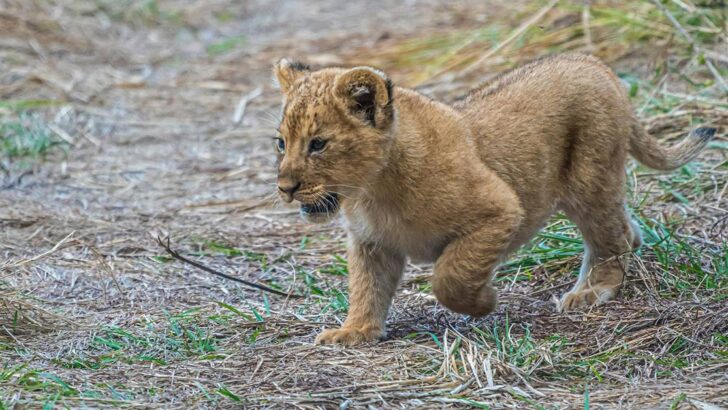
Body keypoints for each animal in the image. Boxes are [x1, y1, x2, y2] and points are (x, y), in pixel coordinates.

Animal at [271, 53, 716, 345]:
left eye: (318, 144)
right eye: (281, 143)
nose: (285, 187)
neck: (372, 190)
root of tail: (594, 63)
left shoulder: (499, 209)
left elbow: (450, 276)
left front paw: (485, 302)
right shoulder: (372, 243)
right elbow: (366, 288)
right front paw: (355, 332)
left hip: (590, 179)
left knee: (611, 236)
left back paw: (592, 290)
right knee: (625, 229)